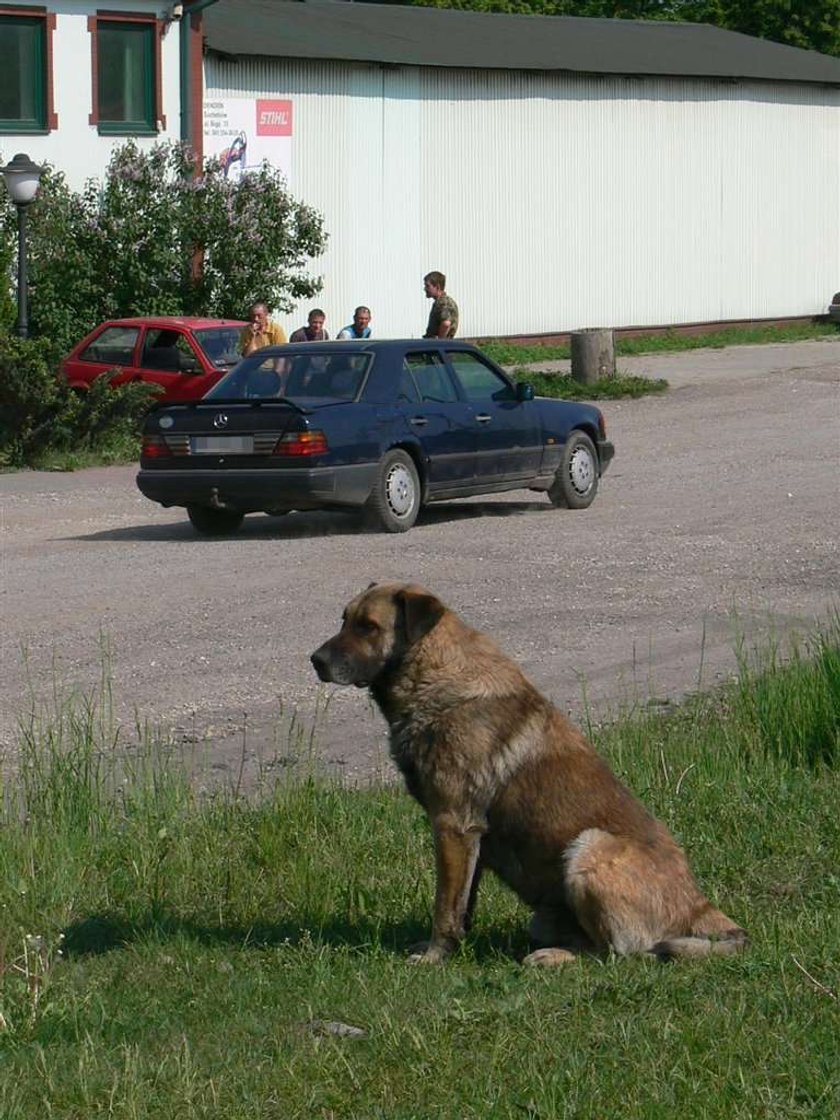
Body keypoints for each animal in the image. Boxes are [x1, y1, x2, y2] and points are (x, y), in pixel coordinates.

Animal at [311, 586, 748, 963]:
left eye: (368, 626)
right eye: (344, 619)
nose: (315, 660)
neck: (436, 675)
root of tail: (698, 905)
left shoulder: (452, 825)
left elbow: (445, 907)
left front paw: (435, 956)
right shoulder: (470, 839)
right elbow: (462, 904)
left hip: (588, 848)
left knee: (614, 953)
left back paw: (553, 957)